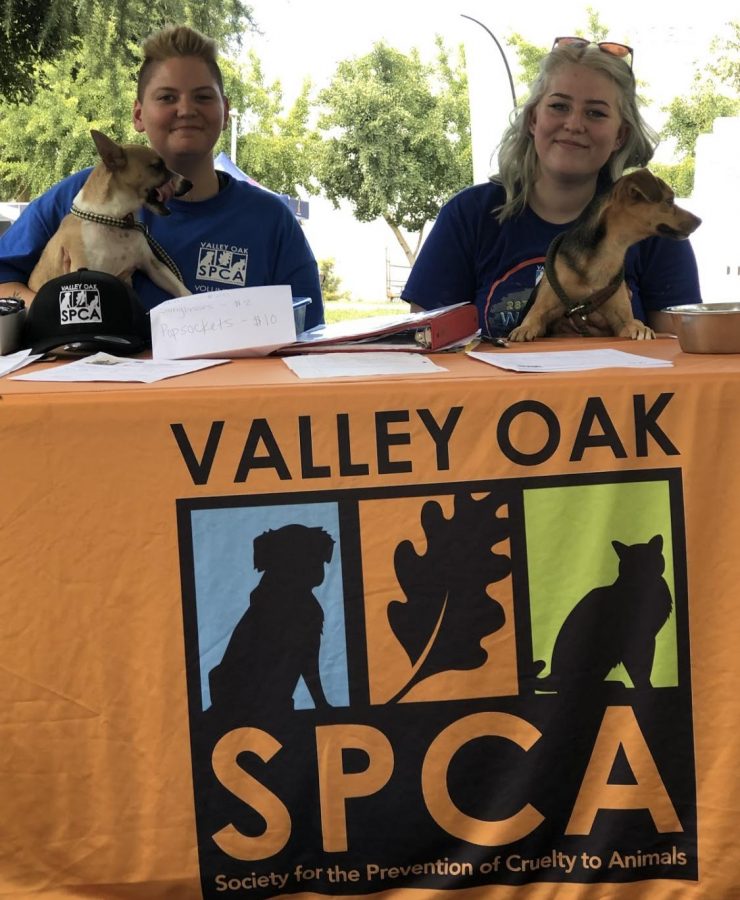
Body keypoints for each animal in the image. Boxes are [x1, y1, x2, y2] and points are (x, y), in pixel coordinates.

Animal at [506, 168, 704, 342]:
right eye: (670, 201)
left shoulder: (621, 319)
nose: (699, 220)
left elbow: (633, 323)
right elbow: (534, 318)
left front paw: (642, 328)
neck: (610, 253)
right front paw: (523, 329)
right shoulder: (544, 308)